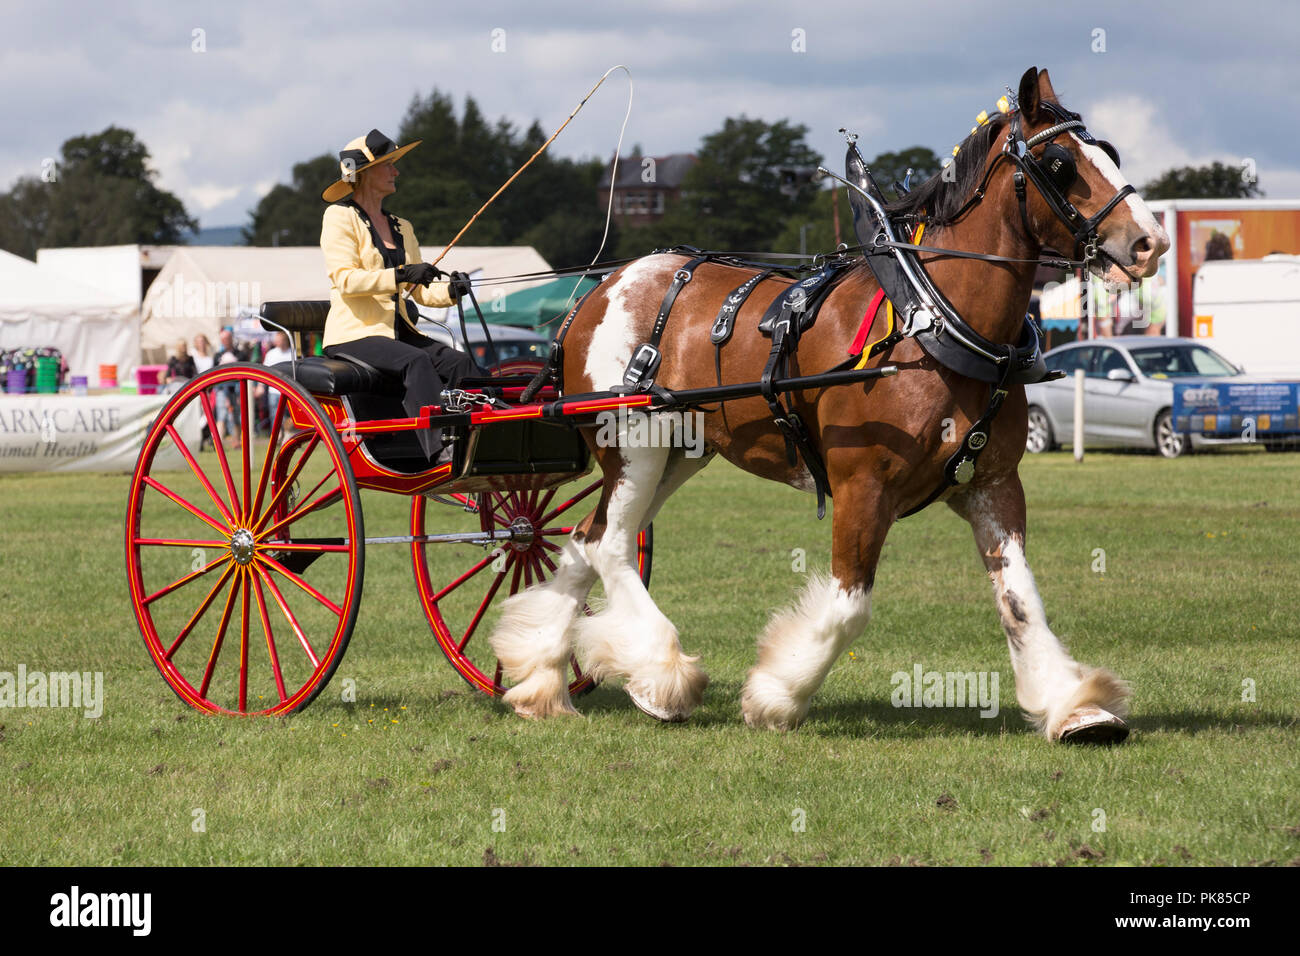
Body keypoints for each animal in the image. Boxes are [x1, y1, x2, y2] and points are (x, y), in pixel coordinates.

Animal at [486, 66, 1170, 742]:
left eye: (1109, 153)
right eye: (1059, 163)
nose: (1151, 241)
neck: (932, 322)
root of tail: (597, 292)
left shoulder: (993, 484)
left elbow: (1021, 599)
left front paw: (1075, 708)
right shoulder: (862, 485)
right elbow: (849, 605)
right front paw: (775, 696)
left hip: (680, 452)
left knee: (586, 539)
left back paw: (543, 678)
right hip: (635, 446)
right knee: (611, 545)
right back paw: (662, 674)